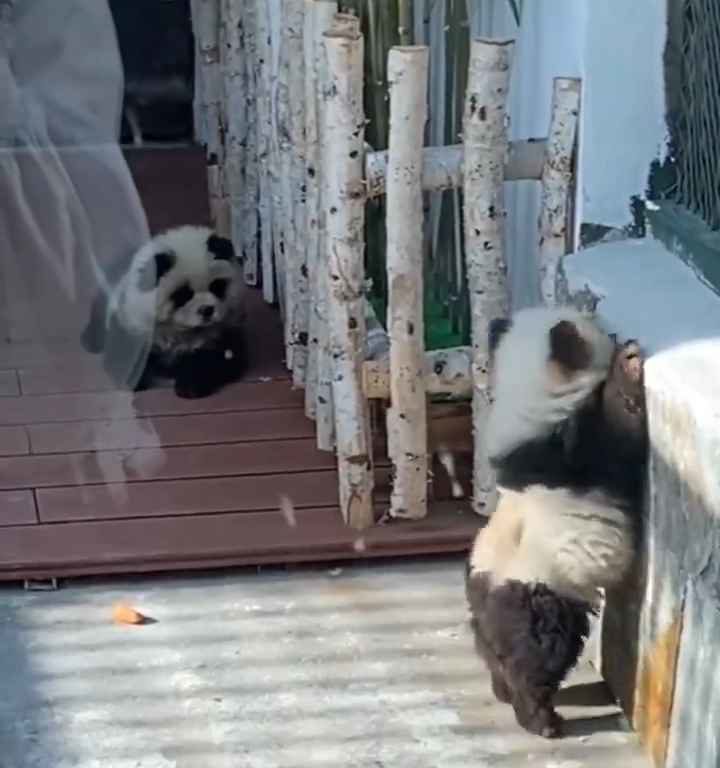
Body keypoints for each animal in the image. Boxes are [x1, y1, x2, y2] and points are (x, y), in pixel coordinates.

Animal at [82, 224, 248, 400]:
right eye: (183, 294)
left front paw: (190, 386)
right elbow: (124, 352)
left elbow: (219, 358)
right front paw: (132, 380)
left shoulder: (224, 330)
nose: (207, 310)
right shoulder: (133, 318)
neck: (180, 330)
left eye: (217, 286)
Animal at [464, 306, 648, 736]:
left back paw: (501, 690)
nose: (615, 334)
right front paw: (629, 362)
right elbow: (623, 429)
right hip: (542, 597)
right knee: (538, 658)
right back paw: (541, 719)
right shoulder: (581, 450)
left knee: (492, 654)